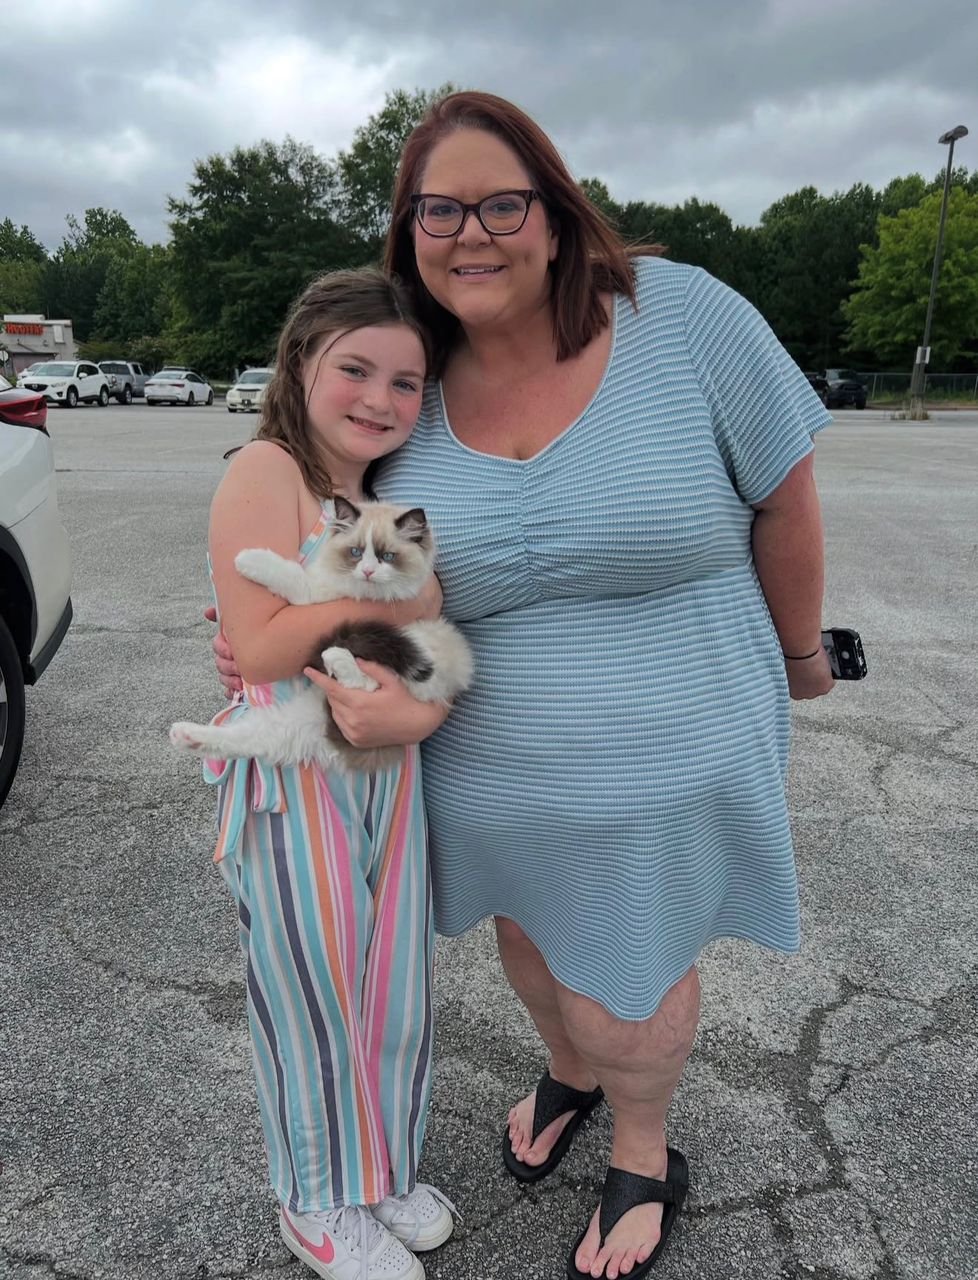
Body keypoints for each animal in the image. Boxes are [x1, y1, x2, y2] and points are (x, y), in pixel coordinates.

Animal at [169, 496, 473, 773]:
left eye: (387, 556)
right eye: (356, 552)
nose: (368, 571)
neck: (361, 593)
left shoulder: (313, 594)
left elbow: (289, 573)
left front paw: (247, 558)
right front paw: (245, 558)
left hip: (414, 666)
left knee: (366, 684)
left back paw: (335, 657)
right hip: (292, 724)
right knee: (247, 738)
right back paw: (184, 735)